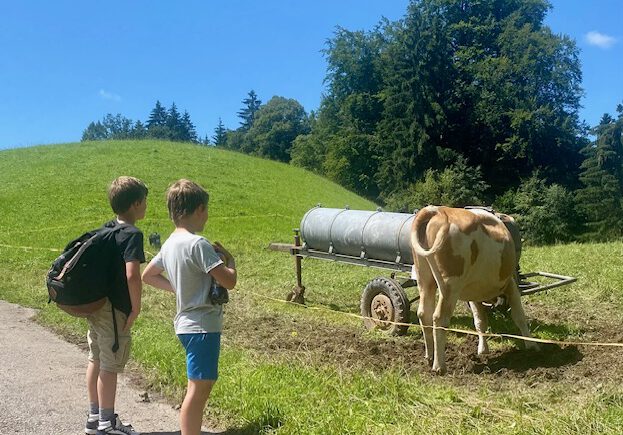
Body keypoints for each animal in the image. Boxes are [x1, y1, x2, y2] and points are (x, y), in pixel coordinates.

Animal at [412, 207, 540, 374]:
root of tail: (437, 209)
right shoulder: (511, 284)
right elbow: (519, 316)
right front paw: (532, 346)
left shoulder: (474, 294)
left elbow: (480, 321)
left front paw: (482, 349)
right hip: (450, 285)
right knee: (439, 318)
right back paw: (439, 365)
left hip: (424, 279)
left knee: (423, 313)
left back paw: (429, 356)